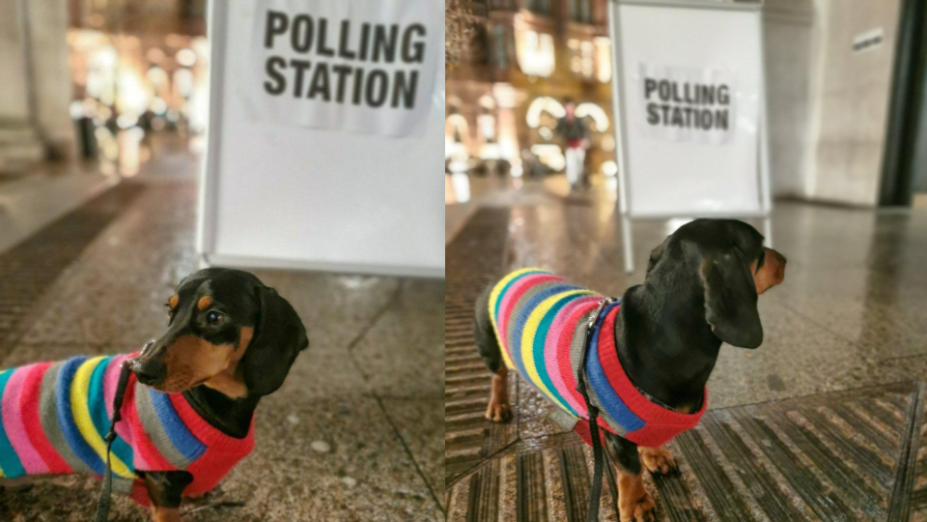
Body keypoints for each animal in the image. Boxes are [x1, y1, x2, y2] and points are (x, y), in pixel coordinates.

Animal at [474, 217, 788, 516]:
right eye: (761, 249)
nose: (785, 259)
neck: (663, 334)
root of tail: (508, 274)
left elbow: (650, 434)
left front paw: (654, 455)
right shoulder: (616, 433)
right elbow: (630, 471)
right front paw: (635, 504)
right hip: (489, 346)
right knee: (498, 375)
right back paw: (498, 404)